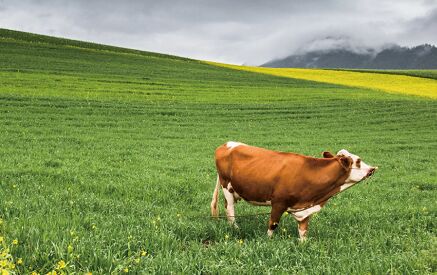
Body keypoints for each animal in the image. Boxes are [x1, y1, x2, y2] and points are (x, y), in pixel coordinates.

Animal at [209, 142, 376, 242]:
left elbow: (303, 231)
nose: (372, 168)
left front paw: (303, 245)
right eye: (358, 161)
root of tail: (226, 144)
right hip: (226, 186)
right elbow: (273, 225)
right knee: (230, 209)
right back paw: (236, 229)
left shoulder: (305, 209)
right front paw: (268, 241)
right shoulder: (278, 203)